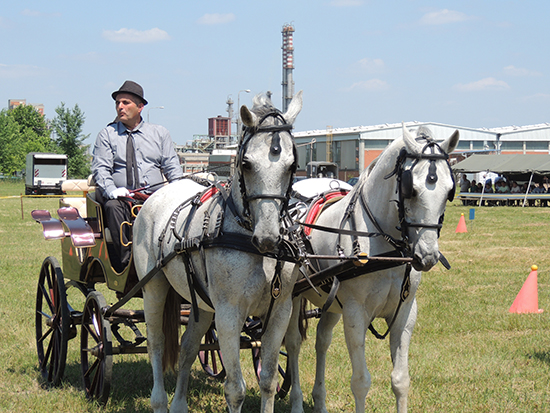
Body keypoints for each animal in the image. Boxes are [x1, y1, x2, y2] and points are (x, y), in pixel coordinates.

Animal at [135, 91, 304, 410]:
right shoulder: (228, 314)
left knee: (188, 346)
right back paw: (159, 401)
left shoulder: (280, 311)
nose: (268, 238)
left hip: (201, 303)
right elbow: (235, 389)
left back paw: (178, 405)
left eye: (291, 166)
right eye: (247, 164)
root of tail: (156, 194)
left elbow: (268, 381)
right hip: (154, 287)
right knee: (157, 343)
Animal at [284, 124, 462, 410]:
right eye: (411, 189)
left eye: (449, 192)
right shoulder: (355, 313)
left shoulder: (405, 313)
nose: (427, 256)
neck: (388, 251)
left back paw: (319, 401)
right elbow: (360, 382)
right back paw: (297, 402)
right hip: (293, 297)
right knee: (293, 343)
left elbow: (401, 380)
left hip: (331, 303)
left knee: (322, 341)